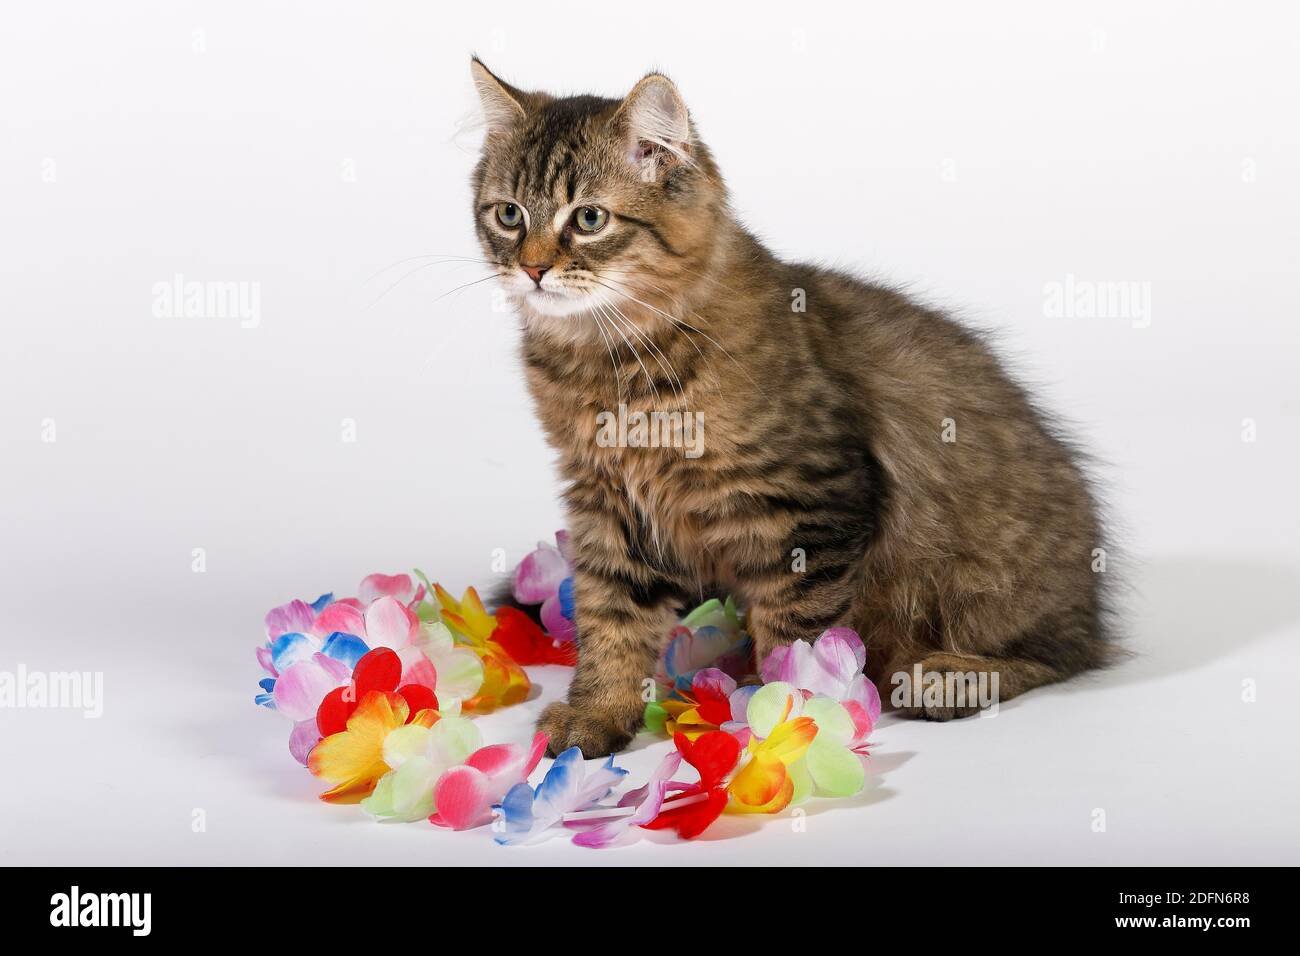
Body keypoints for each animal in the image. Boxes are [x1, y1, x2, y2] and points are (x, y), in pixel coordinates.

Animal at [473, 61, 1112, 764]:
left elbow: (796, 634)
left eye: (588, 218)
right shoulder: (607, 505)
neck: (607, 361)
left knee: (1062, 654)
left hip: (986, 583)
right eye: (508, 215)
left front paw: (786, 723)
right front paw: (598, 713)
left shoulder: (809, 504)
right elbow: (611, 621)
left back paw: (946, 677)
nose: (532, 268)